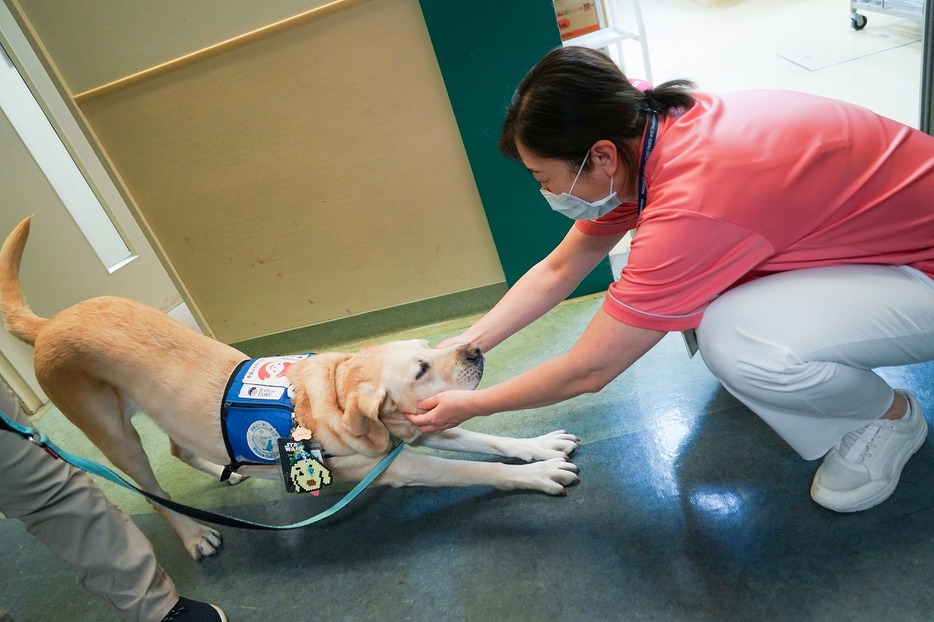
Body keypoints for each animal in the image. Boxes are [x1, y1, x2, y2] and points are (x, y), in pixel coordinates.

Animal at [0, 218, 580, 560]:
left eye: (432, 345)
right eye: (420, 369)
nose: (475, 350)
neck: (340, 391)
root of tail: (49, 324)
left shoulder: (414, 432)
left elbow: (492, 441)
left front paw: (539, 448)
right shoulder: (400, 463)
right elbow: (478, 468)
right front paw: (538, 474)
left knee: (181, 448)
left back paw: (227, 469)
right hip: (113, 433)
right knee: (153, 490)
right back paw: (193, 534)